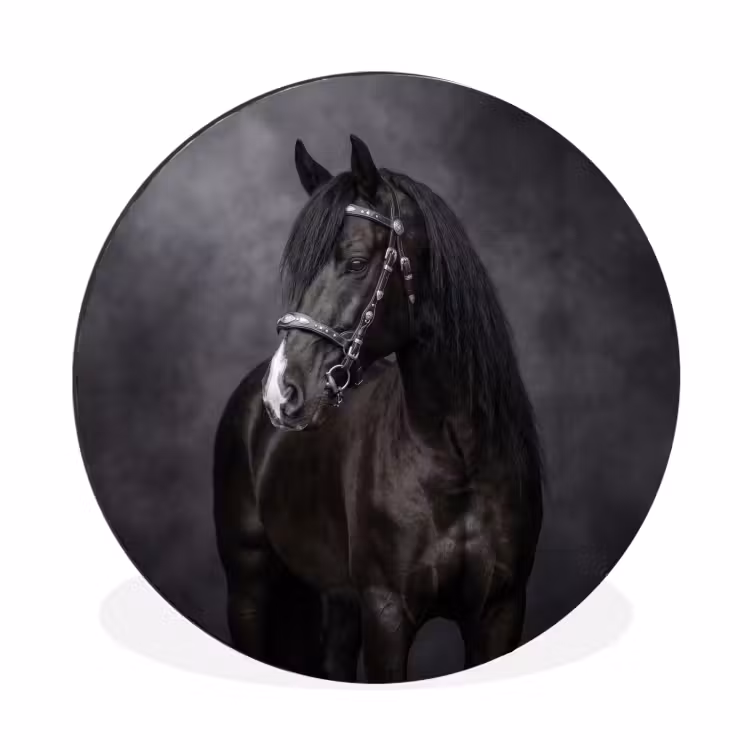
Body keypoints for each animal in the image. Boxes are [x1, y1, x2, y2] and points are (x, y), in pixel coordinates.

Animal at [213, 134, 543, 683]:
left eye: (355, 262)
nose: (282, 391)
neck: (457, 458)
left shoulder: (500, 610)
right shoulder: (387, 612)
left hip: (338, 600)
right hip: (248, 589)